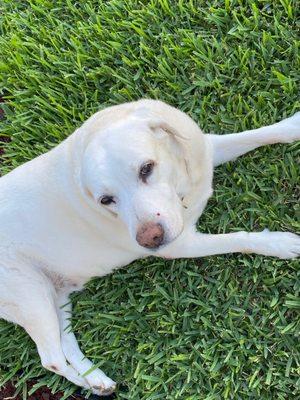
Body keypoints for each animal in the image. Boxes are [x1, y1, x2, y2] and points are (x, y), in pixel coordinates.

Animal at [0, 100, 300, 394]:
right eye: (105, 200)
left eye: (146, 168)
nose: (149, 238)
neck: (181, 188)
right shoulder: (181, 245)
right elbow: (239, 239)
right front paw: (279, 243)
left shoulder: (206, 148)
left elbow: (257, 134)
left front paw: (292, 125)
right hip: (33, 298)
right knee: (51, 359)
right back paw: (88, 382)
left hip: (57, 296)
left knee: (66, 346)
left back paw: (95, 380)